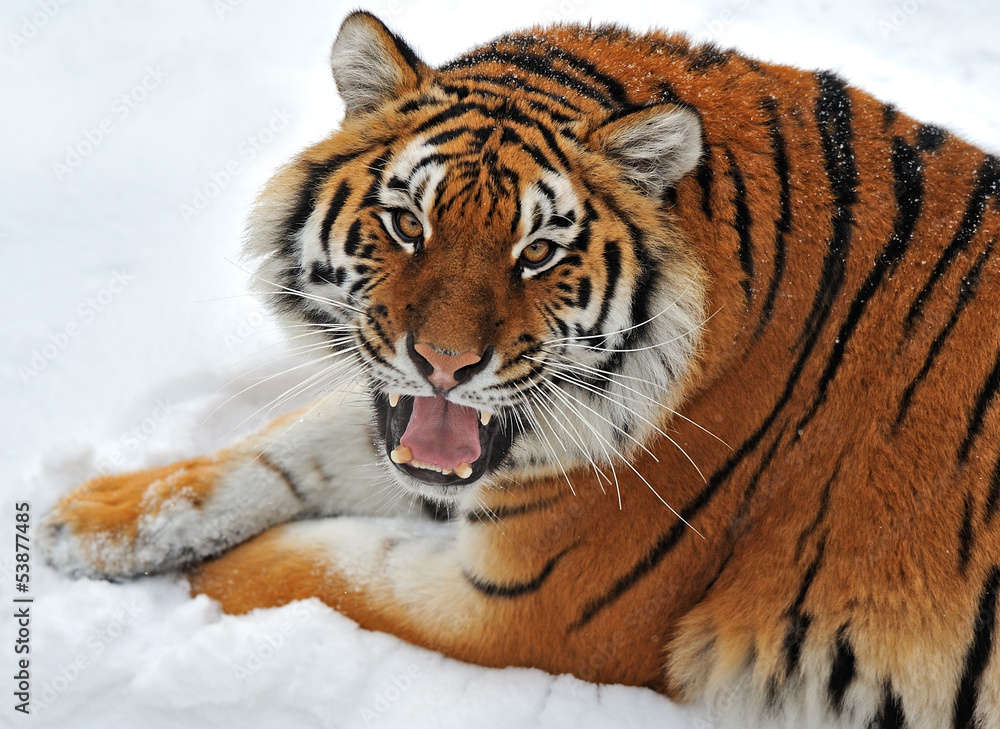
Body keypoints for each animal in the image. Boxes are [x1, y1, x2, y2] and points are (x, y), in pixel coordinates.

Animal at [38, 9, 1000, 728]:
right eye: (408, 224)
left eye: (537, 252)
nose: (444, 363)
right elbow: (283, 451)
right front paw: (85, 520)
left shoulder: (527, 609)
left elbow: (313, 568)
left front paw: (186, 590)